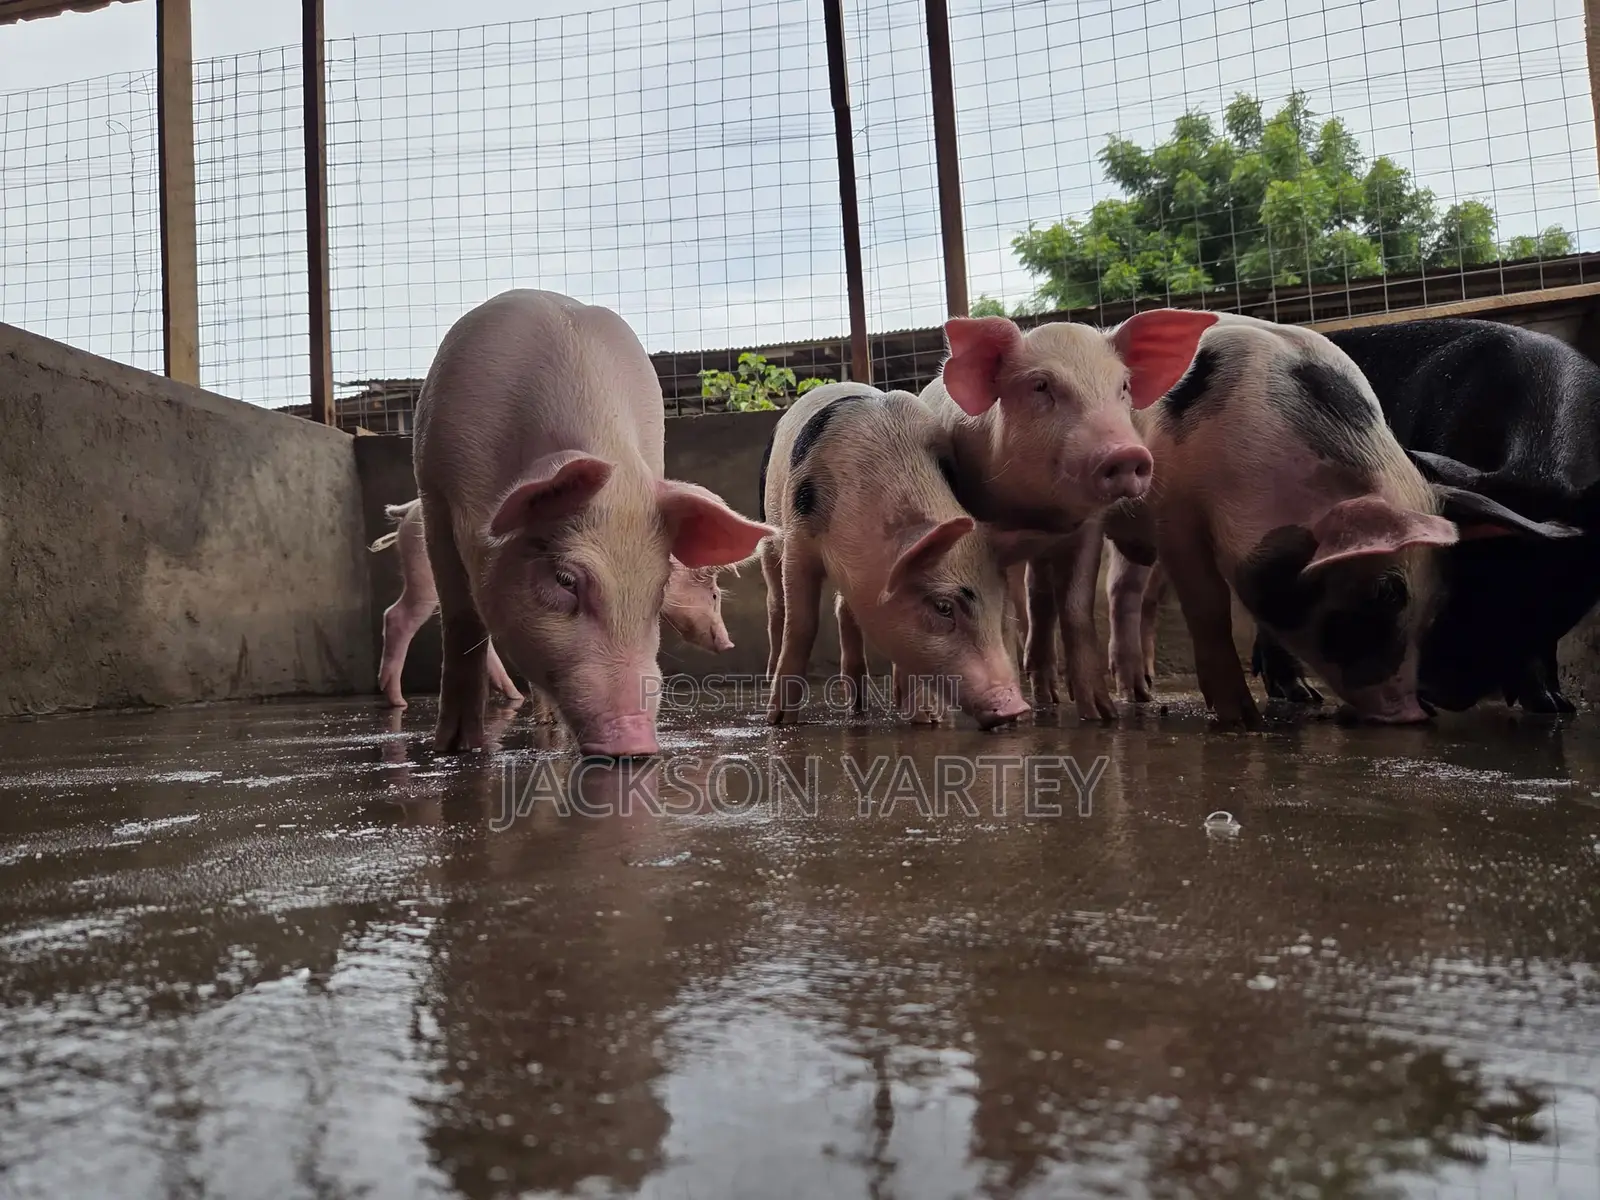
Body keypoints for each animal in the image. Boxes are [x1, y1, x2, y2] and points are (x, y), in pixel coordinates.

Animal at [369, 499, 735, 709]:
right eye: (715, 595)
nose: (729, 644)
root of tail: (406, 512)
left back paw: (514, 696)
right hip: (424, 575)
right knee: (396, 615)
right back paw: (396, 701)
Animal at [412, 289, 772, 756]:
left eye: (658, 591)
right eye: (565, 580)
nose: (636, 742)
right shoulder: (434, 490)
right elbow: (459, 621)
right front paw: (456, 747)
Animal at [757, 382, 1030, 729]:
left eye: (998, 606)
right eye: (943, 606)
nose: (1016, 708)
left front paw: (927, 718)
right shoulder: (799, 540)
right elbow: (802, 624)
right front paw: (779, 720)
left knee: (843, 611)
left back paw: (858, 706)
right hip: (770, 530)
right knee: (776, 604)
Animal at [1086, 309, 1581, 727]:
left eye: (1439, 598)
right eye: (1383, 595)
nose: (1417, 713)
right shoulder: (1176, 513)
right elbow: (1208, 607)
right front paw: (1243, 720)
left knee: (1131, 591)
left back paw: (1142, 693)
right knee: (1120, 590)